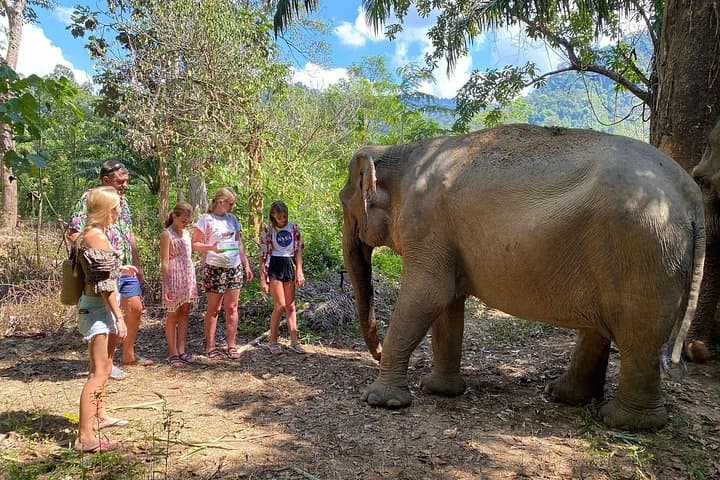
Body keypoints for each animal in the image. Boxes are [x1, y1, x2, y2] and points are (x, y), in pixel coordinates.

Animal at [339, 124, 705, 431]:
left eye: (344, 202)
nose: (376, 351)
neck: (400, 152)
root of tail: (691, 195)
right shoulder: (444, 236)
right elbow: (448, 302)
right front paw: (438, 390)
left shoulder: (426, 222)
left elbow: (430, 294)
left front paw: (381, 401)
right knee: (606, 328)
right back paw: (567, 396)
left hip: (644, 249)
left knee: (637, 334)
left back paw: (623, 421)